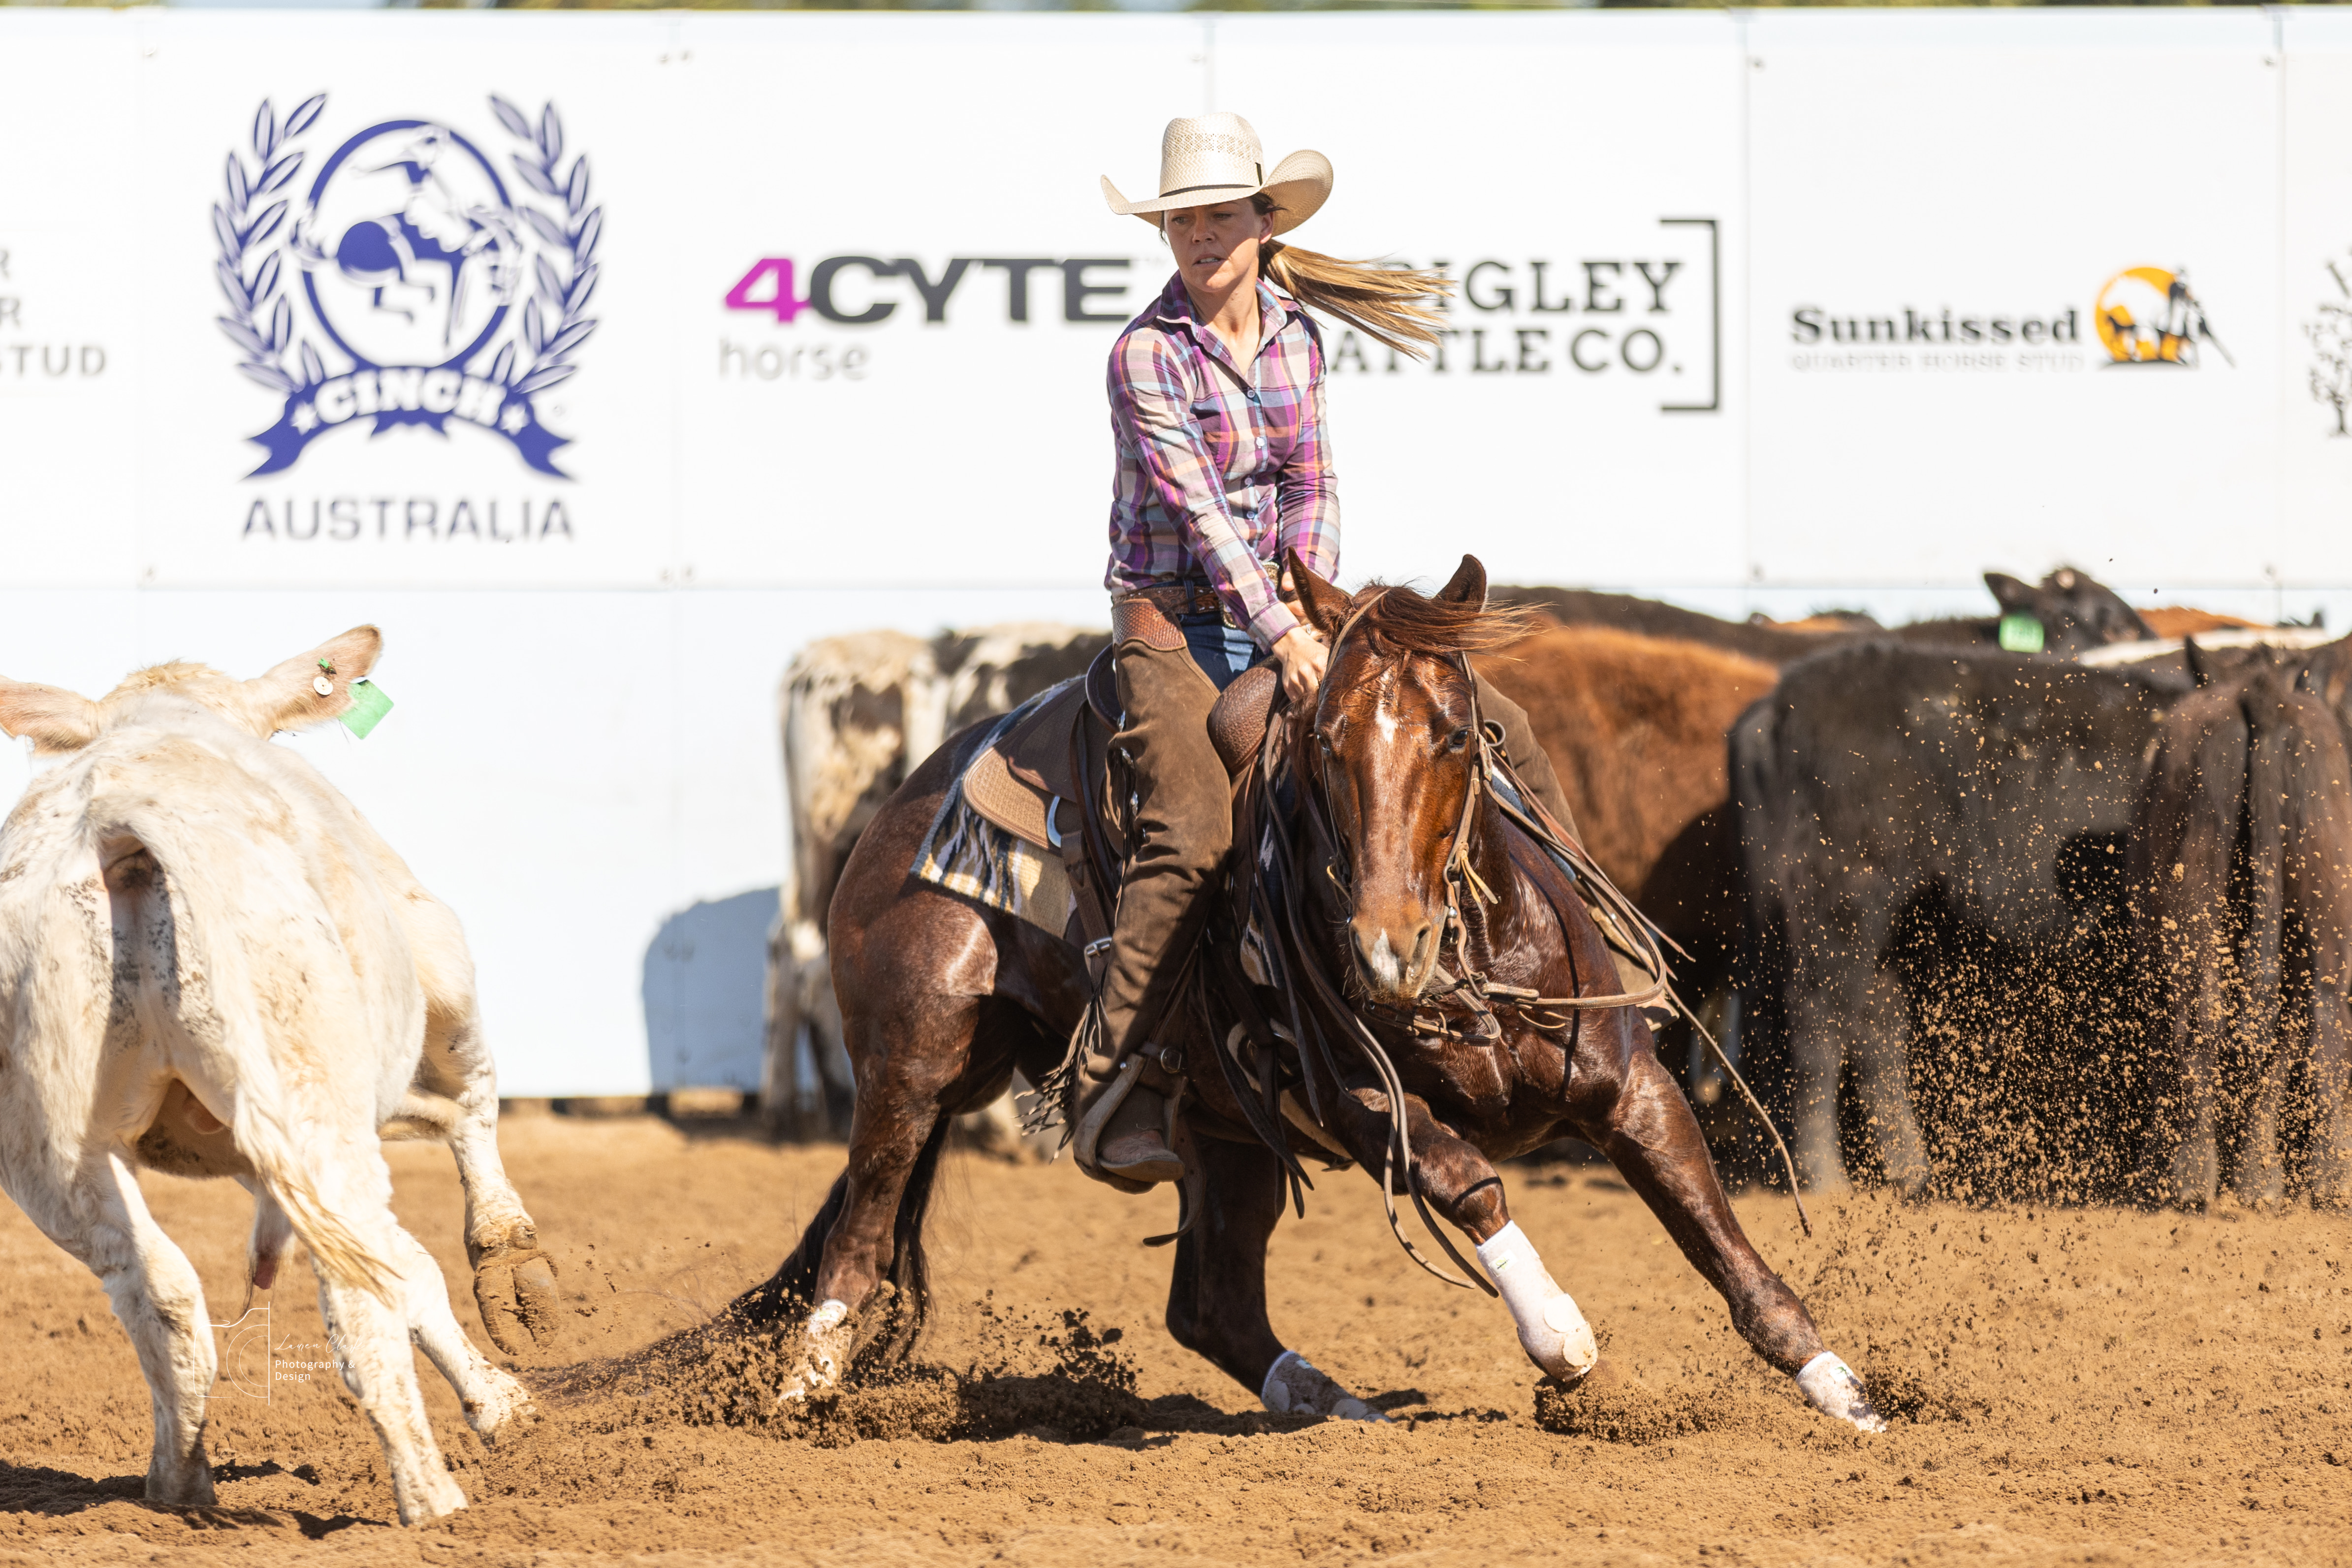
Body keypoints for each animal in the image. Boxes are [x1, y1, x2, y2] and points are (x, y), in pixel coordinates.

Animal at [0, 629, 551, 1523]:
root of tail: (120, 824)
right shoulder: (433, 962)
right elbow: (466, 1123)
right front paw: (507, 1334)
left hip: (48, 1148)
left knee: (160, 1287)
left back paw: (178, 1481)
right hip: (315, 1097)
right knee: (361, 1292)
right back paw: (432, 1500)